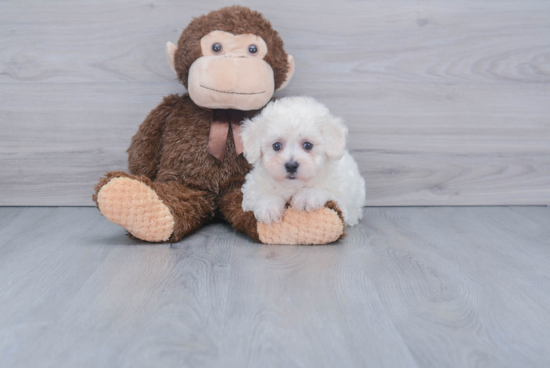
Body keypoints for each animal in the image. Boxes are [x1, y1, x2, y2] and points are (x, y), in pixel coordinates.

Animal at [240, 96, 366, 226]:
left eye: (308, 145)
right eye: (276, 146)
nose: (291, 166)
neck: (293, 185)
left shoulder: (340, 191)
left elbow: (326, 191)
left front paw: (306, 197)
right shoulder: (252, 188)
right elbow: (260, 194)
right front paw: (268, 207)